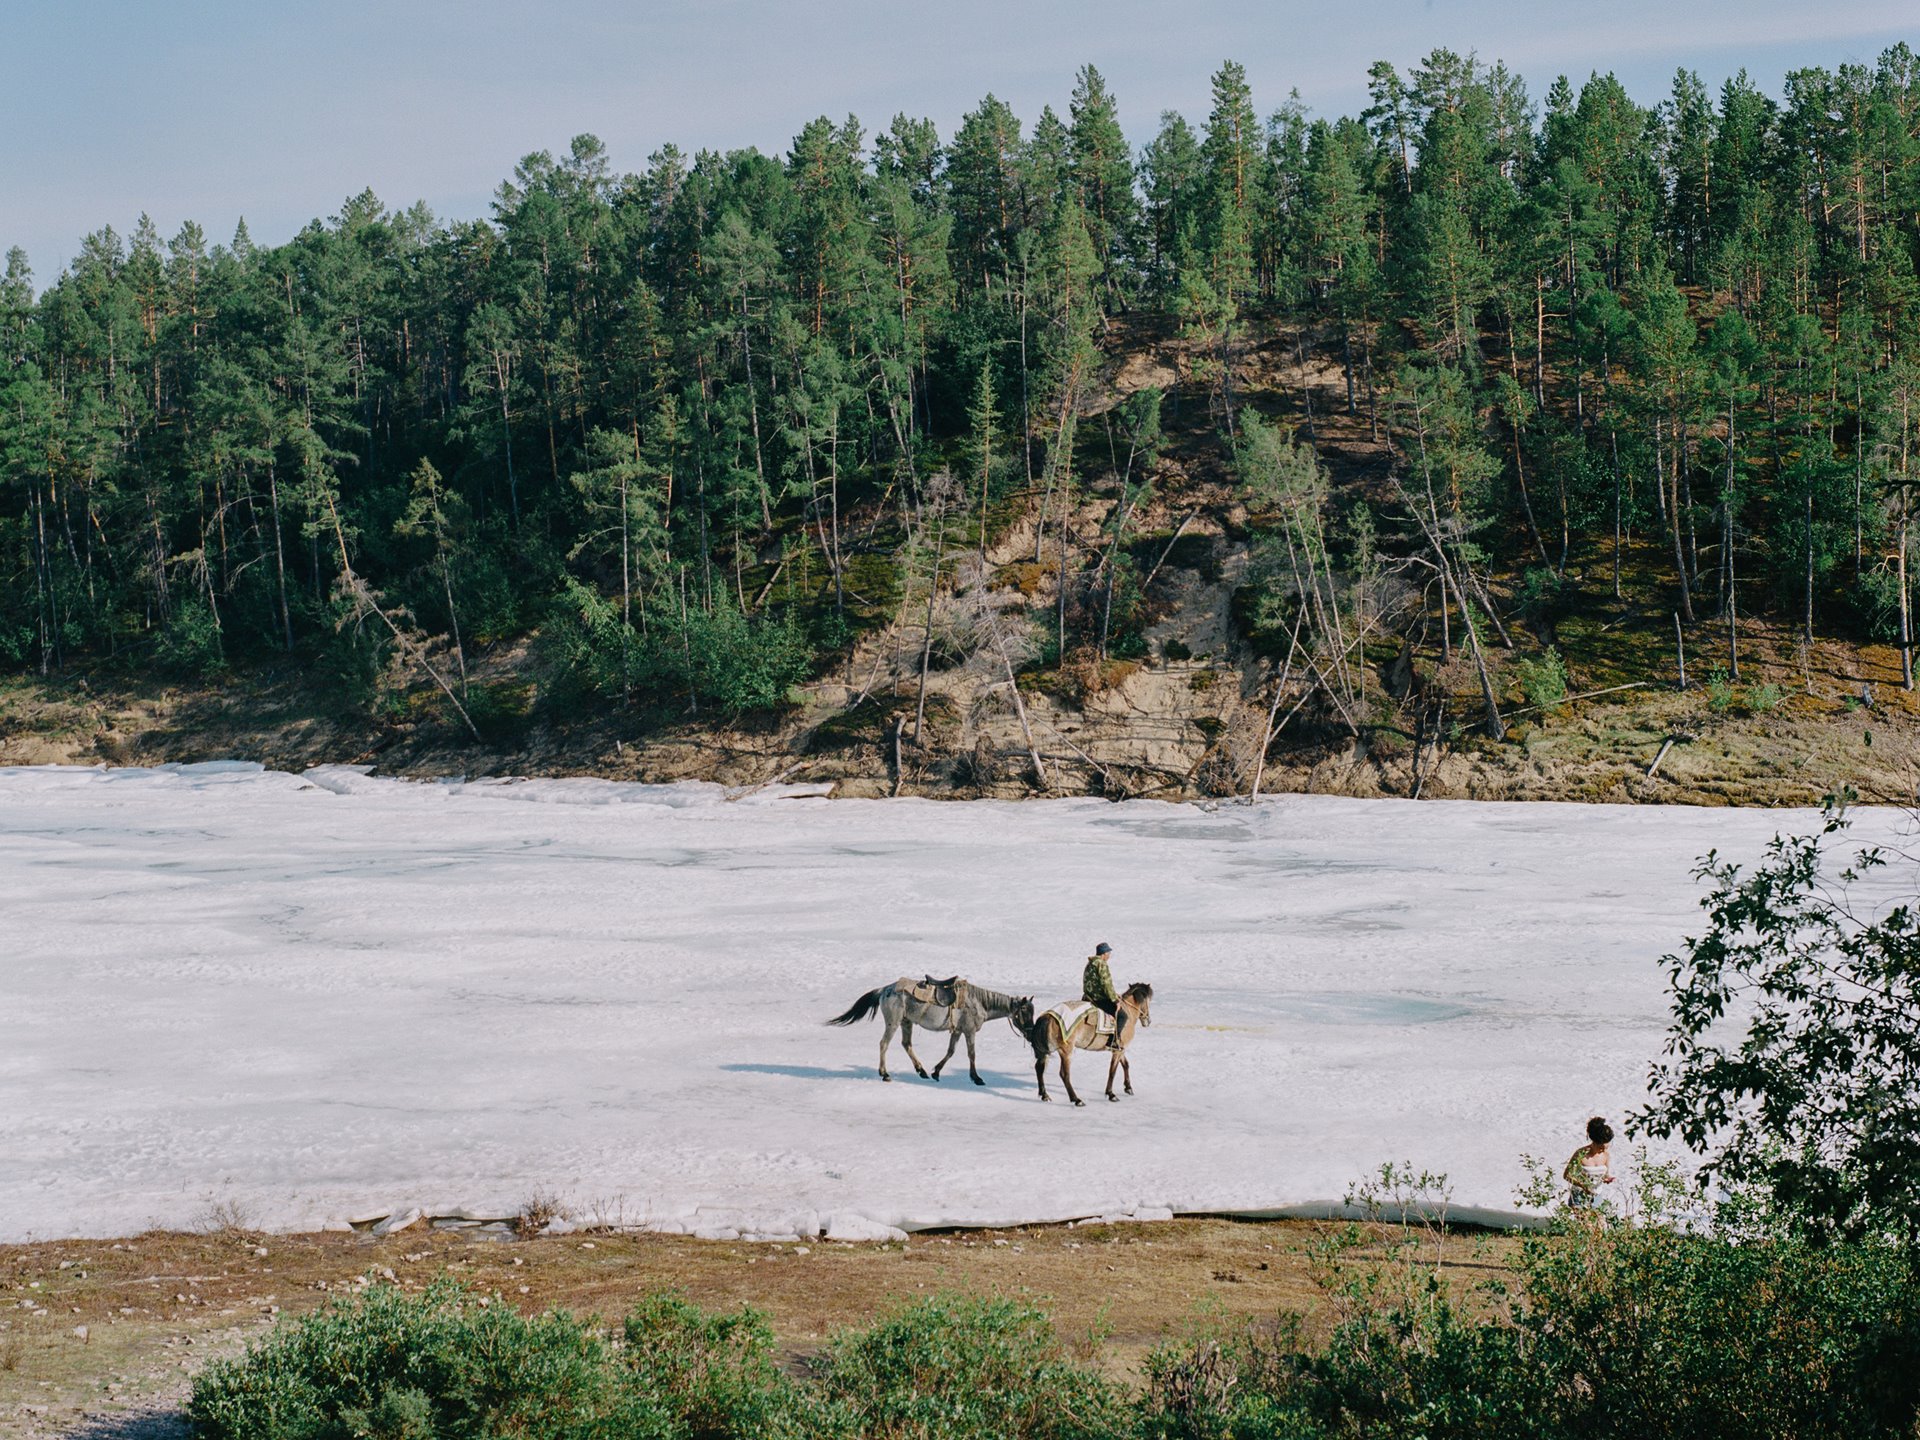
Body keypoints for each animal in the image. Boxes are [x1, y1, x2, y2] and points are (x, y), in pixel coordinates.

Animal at [825, 975, 1036, 1090]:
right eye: (1025, 1012)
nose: (1031, 1032)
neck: (979, 1002)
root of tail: (884, 989)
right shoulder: (969, 1031)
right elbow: (971, 1054)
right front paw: (977, 1078)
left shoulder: (957, 1031)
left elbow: (951, 1052)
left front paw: (936, 1072)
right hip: (893, 1022)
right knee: (884, 1044)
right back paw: (885, 1074)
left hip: (906, 1022)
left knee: (906, 1044)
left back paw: (922, 1071)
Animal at [1013, 990, 1144, 1113]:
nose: (1146, 1020)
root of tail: (1047, 1017)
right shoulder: (1119, 1050)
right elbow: (1112, 1071)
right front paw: (1111, 1094)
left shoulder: (1119, 1049)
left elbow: (1125, 1064)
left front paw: (1128, 1087)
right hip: (1066, 1051)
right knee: (1064, 1074)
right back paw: (1076, 1099)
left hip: (1045, 1052)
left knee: (1039, 1068)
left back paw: (1045, 1095)